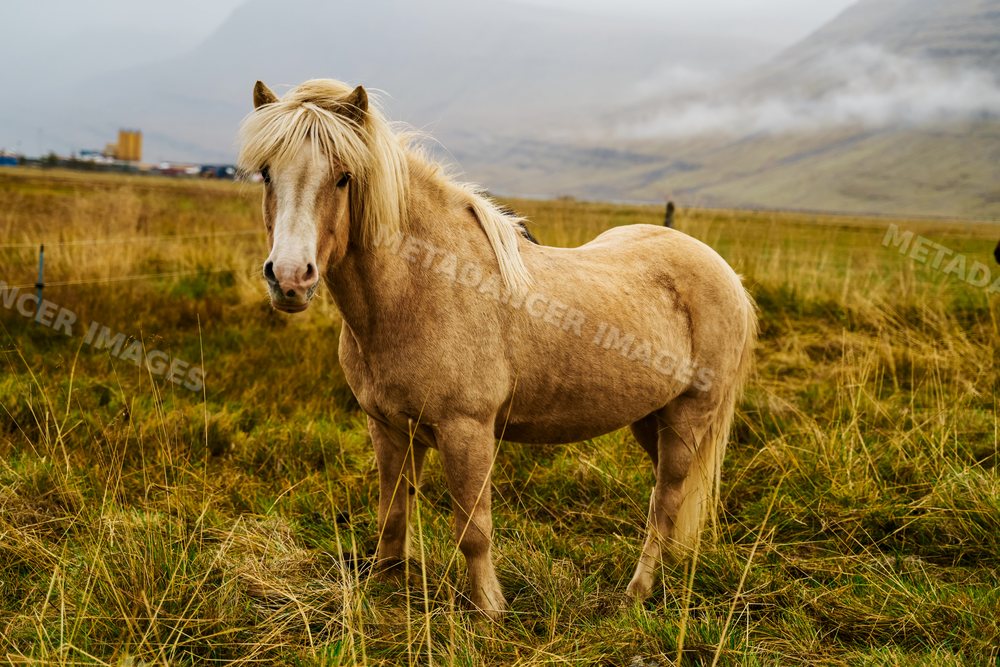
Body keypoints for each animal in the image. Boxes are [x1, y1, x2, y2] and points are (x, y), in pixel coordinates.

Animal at [238, 79, 757, 619]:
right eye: (266, 173)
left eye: (343, 178)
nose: (290, 278)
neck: (420, 289)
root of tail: (726, 274)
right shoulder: (388, 428)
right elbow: (393, 513)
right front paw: (386, 585)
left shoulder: (466, 430)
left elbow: (474, 529)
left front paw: (489, 610)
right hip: (650, 419)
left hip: (687, 418)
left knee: (665, 502)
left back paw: (636, 593)